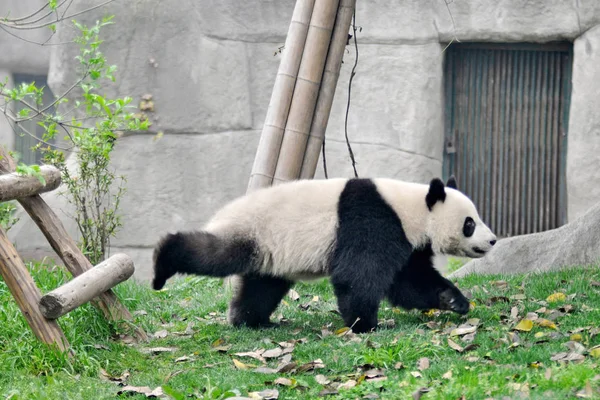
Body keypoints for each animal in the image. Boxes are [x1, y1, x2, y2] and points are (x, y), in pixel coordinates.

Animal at [151, 177, 496, 332]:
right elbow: (357, 275)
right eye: (470, 223)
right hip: (253, 232)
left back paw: (250, 320)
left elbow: (410, 281)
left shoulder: (407, 241)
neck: (410, 207)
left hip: (271, 254)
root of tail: (225, 212)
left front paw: (454, 300)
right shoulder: (372, 220)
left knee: (261, 287)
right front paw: (365, 324)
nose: (492, 240)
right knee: (215, 255)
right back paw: (161, 265)